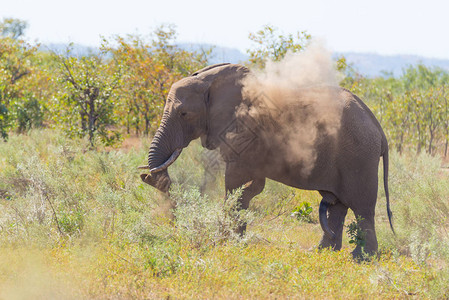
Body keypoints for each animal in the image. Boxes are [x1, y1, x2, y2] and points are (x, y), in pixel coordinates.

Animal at [139, 62, 392, 258]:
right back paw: (322, 252)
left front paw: (224, 241)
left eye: (184, 114)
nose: (145, 175)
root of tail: (379, 129)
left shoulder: (243, 133)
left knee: (362, 207)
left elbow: (235, 182)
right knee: (338, 205)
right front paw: (236, 238)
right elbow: (248, 186)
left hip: (359, 157)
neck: (210, 82)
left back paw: (362, 258)